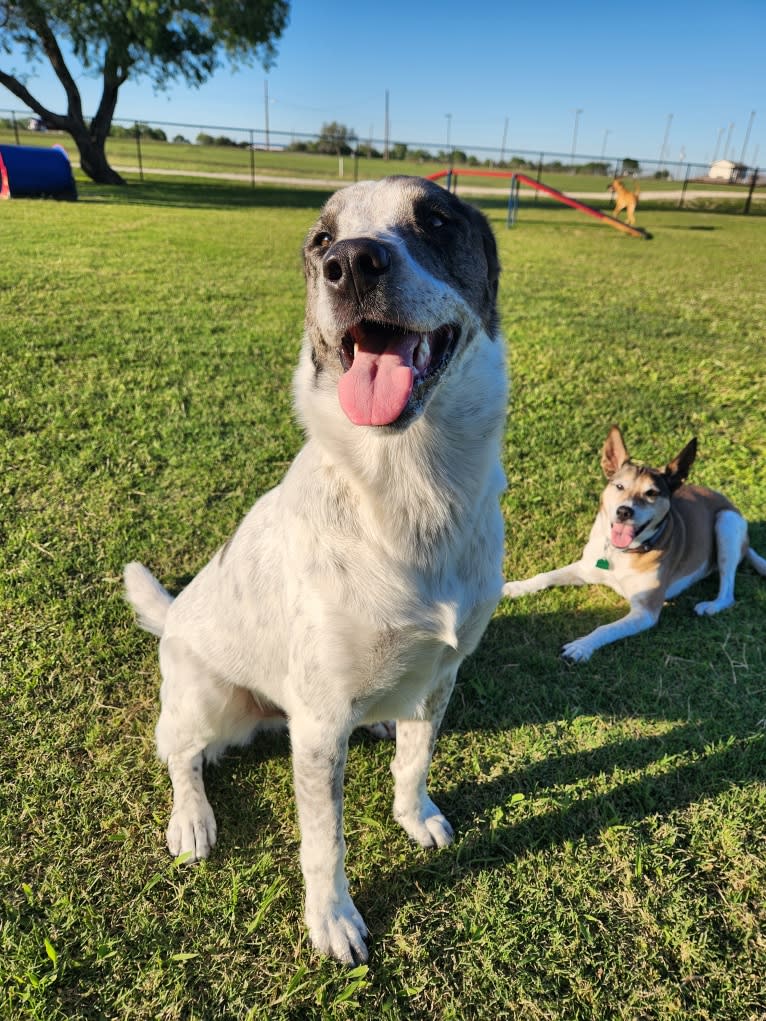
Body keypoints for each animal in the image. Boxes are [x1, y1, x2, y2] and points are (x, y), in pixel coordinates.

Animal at [124, 175, 510, 963]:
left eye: (435, 219)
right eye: (321, 241)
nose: (353, 264)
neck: (410, 487)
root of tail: (173, 616)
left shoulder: (442, 673)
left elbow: (417, 761)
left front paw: (414, 813)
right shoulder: (322, 722)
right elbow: (323, 840)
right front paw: (332, 920)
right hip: (206, 696)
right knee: (178, 754)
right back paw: (192, 819)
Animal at [504, 422, 766, 661]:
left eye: (651, 493)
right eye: (619, 486)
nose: (624, 511)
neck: (621, 553)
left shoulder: (645, 612)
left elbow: (606, 628)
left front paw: (581, 646)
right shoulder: (585, 568)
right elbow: (544, 576)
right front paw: (516, 587)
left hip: (726, 522)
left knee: (728, 589)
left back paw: (711, 605)